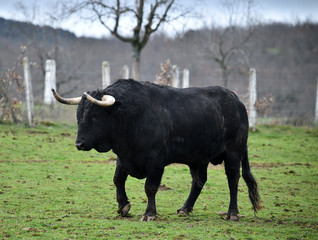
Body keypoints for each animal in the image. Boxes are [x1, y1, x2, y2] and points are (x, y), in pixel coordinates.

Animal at [52, 79, 260, 221]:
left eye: (95, 116)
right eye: (79, 115)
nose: (79, 144)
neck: (132, 115)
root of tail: (237, 101)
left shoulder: (156, 161)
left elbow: (150, 187)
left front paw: (149, 214)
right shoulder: (123, 156)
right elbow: (118, 179)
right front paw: (123, 206)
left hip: (234, 152)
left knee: (233, 179)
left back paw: (232, 213)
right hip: (198, 158)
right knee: (198, 181)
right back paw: (185, 208)